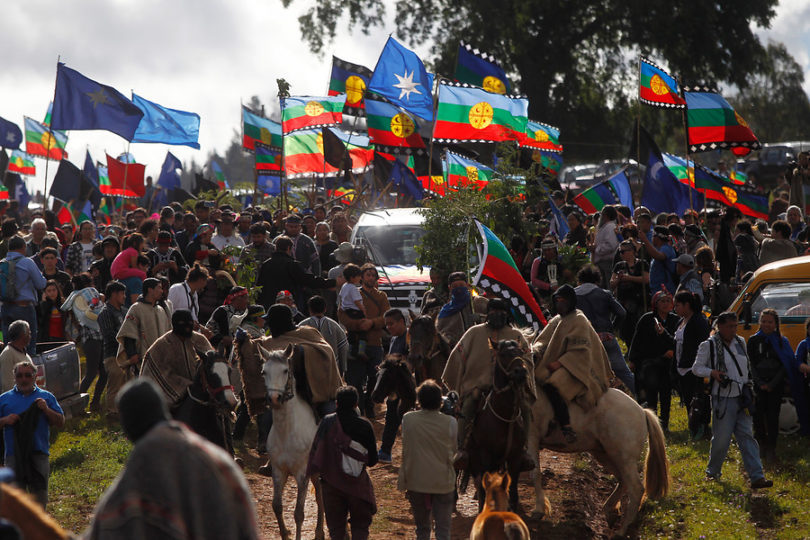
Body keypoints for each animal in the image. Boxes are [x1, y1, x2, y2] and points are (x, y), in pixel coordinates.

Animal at [262, 346, 326, 540]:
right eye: (264, 372)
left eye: (285, 370)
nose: (274, 398)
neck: (287, 432)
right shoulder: (278, 471)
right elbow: (276, 506)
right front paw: (284, 534)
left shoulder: (302, 473)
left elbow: (299, 513)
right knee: (320, 494)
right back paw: (319, 531)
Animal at [460, 340, 532, 512]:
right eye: (503, 354)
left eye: (521, 352)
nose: (521, 372)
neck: (504, 416)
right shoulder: (486, 457)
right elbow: (485, 489)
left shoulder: (515, 457)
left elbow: (513, 493)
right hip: (475, 459)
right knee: (479, 486)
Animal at [524, 386, 668, 536]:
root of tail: (642, 411)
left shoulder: (532, 437)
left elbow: (535, 474)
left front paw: (539, 510)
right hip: (604, 454)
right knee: (622, 480)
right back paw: (610, 511)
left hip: (624, 459)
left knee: (636, 488)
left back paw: (623, 529)